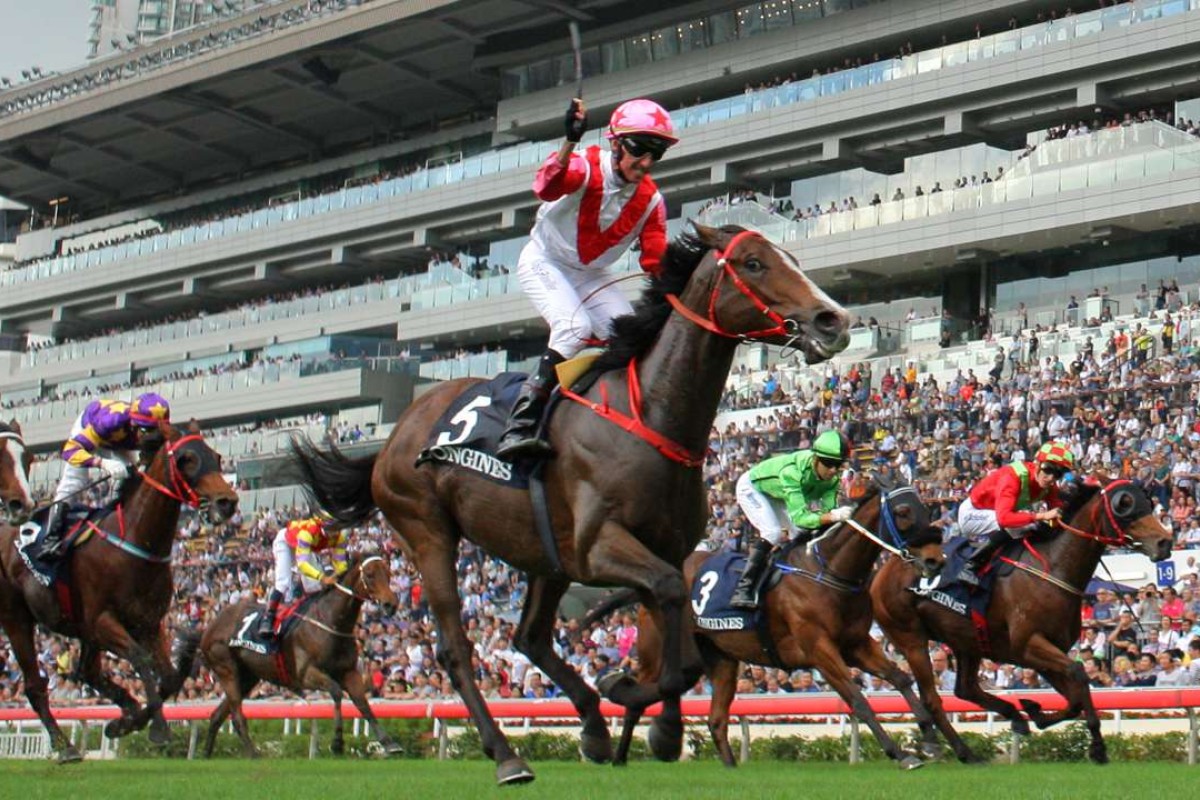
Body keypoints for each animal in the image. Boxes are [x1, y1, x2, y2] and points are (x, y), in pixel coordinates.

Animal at [0, 424, 240, 762]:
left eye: (216, 457)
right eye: (187, 459)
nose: (226, 502)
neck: (137, 542)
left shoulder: (148, 623)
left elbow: (169, 677)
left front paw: (125, 723)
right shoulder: (103, 621)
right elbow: (141, 660)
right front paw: (156, 728)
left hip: (83, 631)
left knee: (88, 673)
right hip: (17, 618)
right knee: (35, 684)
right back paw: (65, 746)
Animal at [198, 554, 403, 762]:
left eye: (388, 574)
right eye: (369, 575)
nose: (391, 604)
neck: (331, 622)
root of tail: (211, 625)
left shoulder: (349, 672)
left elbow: (363, 704)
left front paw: (390, 744)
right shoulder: (305, 674)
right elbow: (336, 692)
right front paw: (337, 742)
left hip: (247, 677)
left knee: (218, 715)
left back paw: (205, 754)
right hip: (227, 669)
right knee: (237, 715)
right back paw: (253, 754)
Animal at [290, 224, 854, 782]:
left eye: (790, 257)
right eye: (754, 263)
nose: (834, 320)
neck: (650, 415)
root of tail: (393, 436)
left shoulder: (664, 551)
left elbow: (680, 641)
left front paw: (652, 718)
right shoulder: (598, 548)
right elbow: (672, 614)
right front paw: (633, 699)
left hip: (543, 555)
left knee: (530, 638)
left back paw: (593, 729)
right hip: (428, 532)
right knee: (454, 647)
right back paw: (508, 755)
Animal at [595, 482, 940, 767]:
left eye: (927, 508)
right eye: (903, 512)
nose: (936, 560)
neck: (829, 572)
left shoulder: (855, 644)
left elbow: (900, 678)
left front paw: (929, 740)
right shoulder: (820, 650)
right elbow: (858, 700)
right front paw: (900, 754)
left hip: (718, 658)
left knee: (715, 719)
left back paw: (730, 767)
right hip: (661, 653)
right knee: (642, 697)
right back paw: (619, 755)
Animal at [873, 474, 1171, 762]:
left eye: (1148, 501)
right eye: (1124, 503)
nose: (1165, 541)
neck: (1051, 568)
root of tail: (886, 567)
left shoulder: (1046, 652)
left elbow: (1075, 695)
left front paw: (1037, 713)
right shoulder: (1029, 645)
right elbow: (1078, 675)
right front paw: (1094, 745)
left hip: (966, 641)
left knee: (965, 689)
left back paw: (1013, 716)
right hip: (911, 638)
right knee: (932, 698)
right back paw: (962, 751)